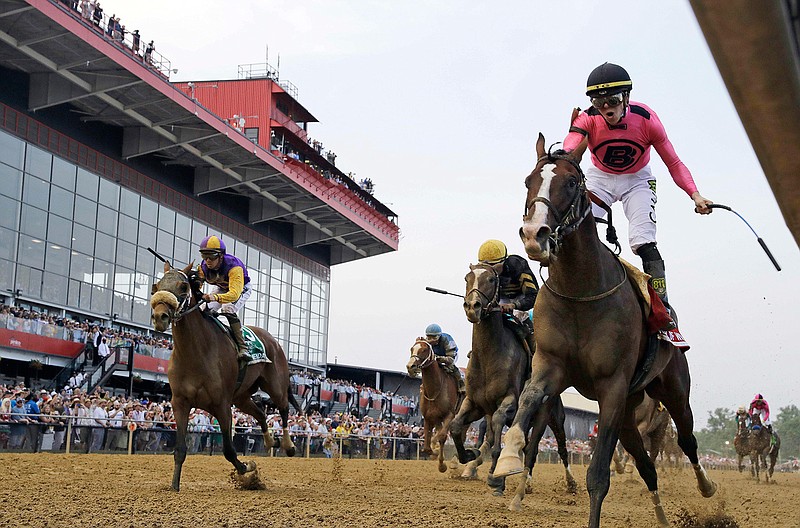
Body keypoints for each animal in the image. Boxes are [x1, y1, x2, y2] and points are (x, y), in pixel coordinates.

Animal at [150, 262, 300, 490]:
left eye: (183, 286)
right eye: (157, 286)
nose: (160, 317)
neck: (195, 353)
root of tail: (273, 341)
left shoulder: (222, 404)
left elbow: (229, 450)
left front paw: (247, 469)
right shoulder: (180, 402)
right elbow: (180, 449)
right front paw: (174, 486)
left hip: (276, 386)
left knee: (283, 410)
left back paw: (288, 445)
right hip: (241, 397)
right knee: (261, 413)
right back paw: (268, 441)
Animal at [406, 338, 462, 474]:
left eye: (424, 350)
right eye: (412, 349)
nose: (410, 367)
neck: (434, 390)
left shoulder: (450, 415)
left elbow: (441, 436)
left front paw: (441, 464)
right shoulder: (428, 417)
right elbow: (427, 446)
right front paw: (434, 452)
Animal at [450, 262, 576, 510]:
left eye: (491, 279)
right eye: (467, 278)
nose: (472, 306)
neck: (489, 355)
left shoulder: (509, 400)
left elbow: (499, 430)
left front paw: (495, 479)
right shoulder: (475, 404)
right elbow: (456, 425)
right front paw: (468, 455)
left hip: (551, 417)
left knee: (555, 448)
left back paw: (569, 484)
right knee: (522, 446)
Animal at [494, 134, 720, 524]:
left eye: (572, 182)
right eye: (528, 181)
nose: (535, 234)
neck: (581, 292)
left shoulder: (612, 386)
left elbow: (598, 475)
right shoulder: (550, 366)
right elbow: (529, 400)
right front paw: (508, 459)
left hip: (672, 390)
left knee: (687, 439)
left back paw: (706, 486)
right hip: (630, 411)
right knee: (646, 465)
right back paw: (661, 516)